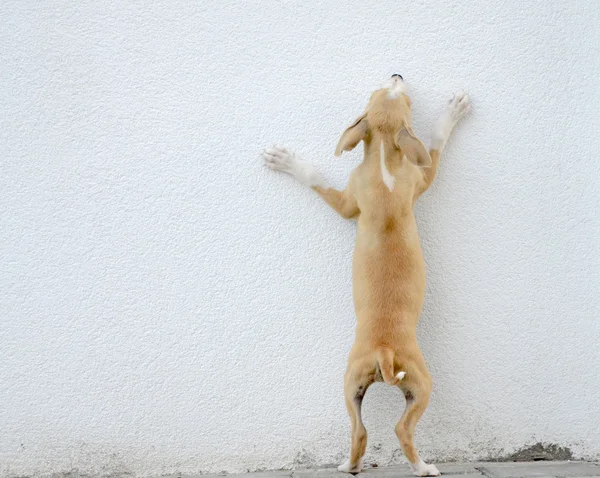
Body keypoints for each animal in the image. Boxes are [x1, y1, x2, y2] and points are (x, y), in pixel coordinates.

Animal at [260, 74, 472, 474]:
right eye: (382, 93)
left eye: (401, 96)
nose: (397, 73)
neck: (385, 157)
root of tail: (384, 350)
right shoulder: (415, 177)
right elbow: (433, 144)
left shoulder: (359, 196)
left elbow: (434, 142)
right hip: (397, 384)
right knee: (388, 429)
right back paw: (404, 467)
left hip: (358, 382)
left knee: (369, 431)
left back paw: (361, 466)